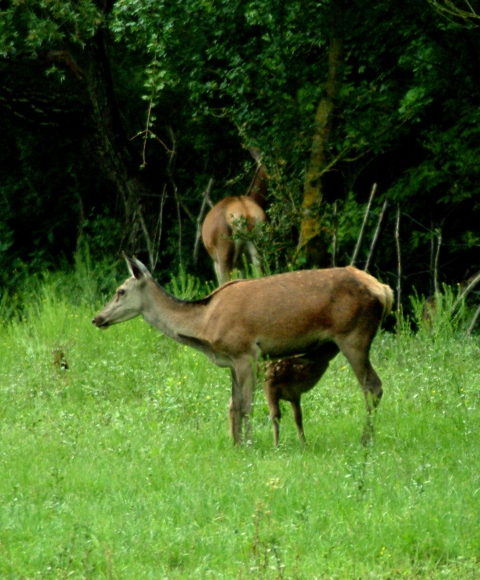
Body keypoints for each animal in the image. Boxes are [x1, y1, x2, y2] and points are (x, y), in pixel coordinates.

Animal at [92, 256, 392, 446]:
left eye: (120, 291)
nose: (97, 318)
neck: (204, 325)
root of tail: (384, 290)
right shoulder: (231, 360)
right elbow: (233, 404)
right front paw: (235, 444)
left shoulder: (245, 352)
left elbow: (246, 405)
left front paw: (249, 444)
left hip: (353, 336)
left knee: (372, 387)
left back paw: (366, 439)